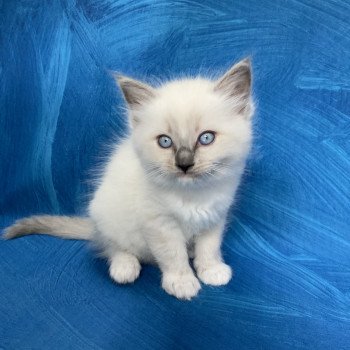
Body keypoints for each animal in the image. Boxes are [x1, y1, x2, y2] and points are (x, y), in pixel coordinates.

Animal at [4, 57, 254, 298]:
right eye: (165, 142)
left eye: (206, 138)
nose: (184, 164)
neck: (192, 196)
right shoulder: (159, 224)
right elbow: (173, 256)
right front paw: (182, 283)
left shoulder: (215, 216)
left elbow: (209, 248)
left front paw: (211, 270)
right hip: (107, 217)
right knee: (113, 247)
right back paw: (125, 268)